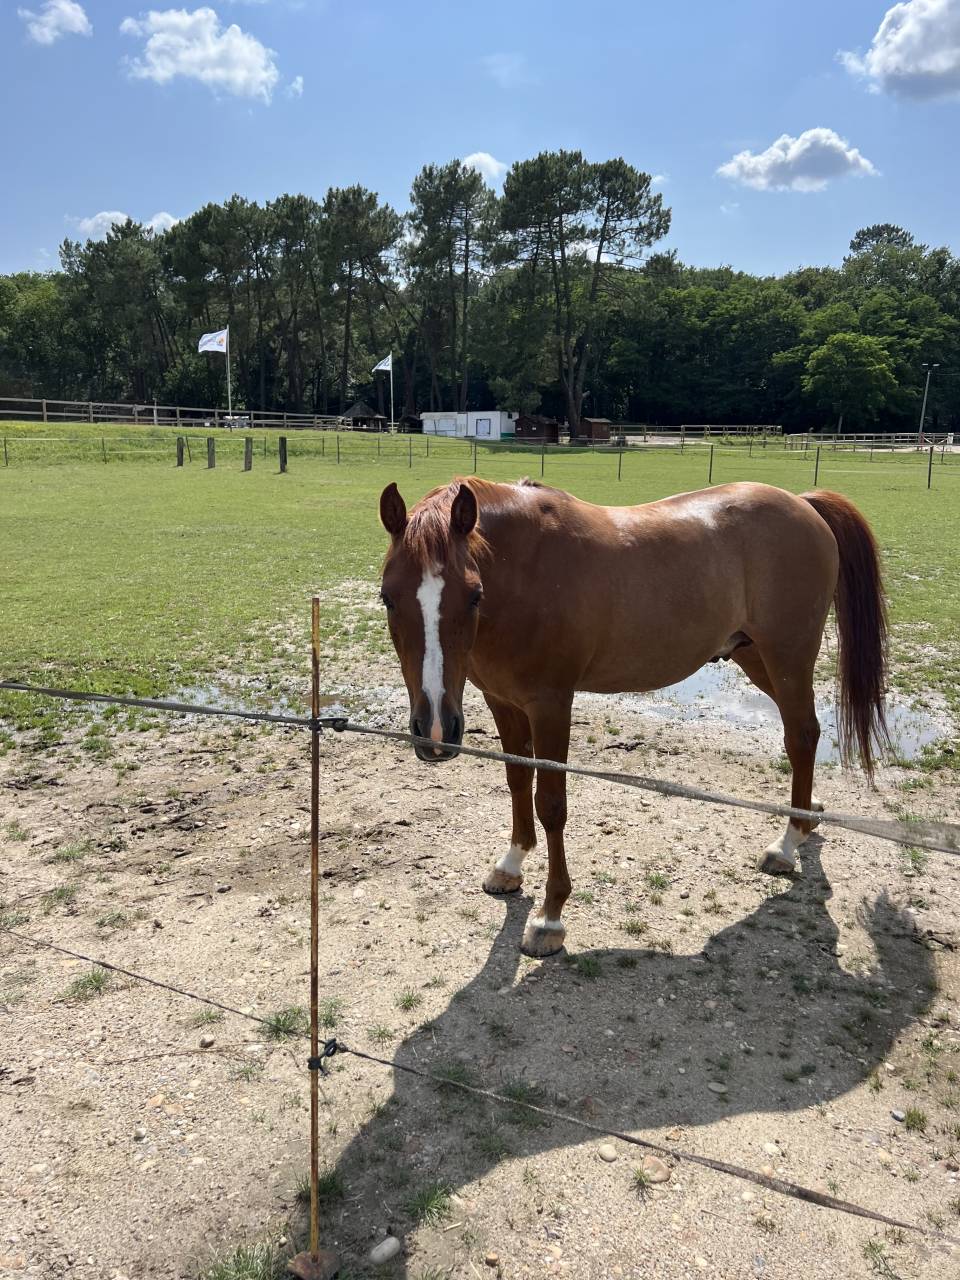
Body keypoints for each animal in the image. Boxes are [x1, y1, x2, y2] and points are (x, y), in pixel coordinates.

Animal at [378, 477, 889, 959]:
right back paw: (806, 817)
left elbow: (551, 804)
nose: (436, 730)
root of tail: (802, 504)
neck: (525, 571)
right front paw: (510, 865)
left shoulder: (550, 705)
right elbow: (518, 780)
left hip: (787, 658)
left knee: (801, 735)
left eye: (473, 595)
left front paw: (549, 919)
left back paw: (786, 843)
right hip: (757, 659)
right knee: (806, 732)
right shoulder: (500, 700)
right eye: (387, 598)